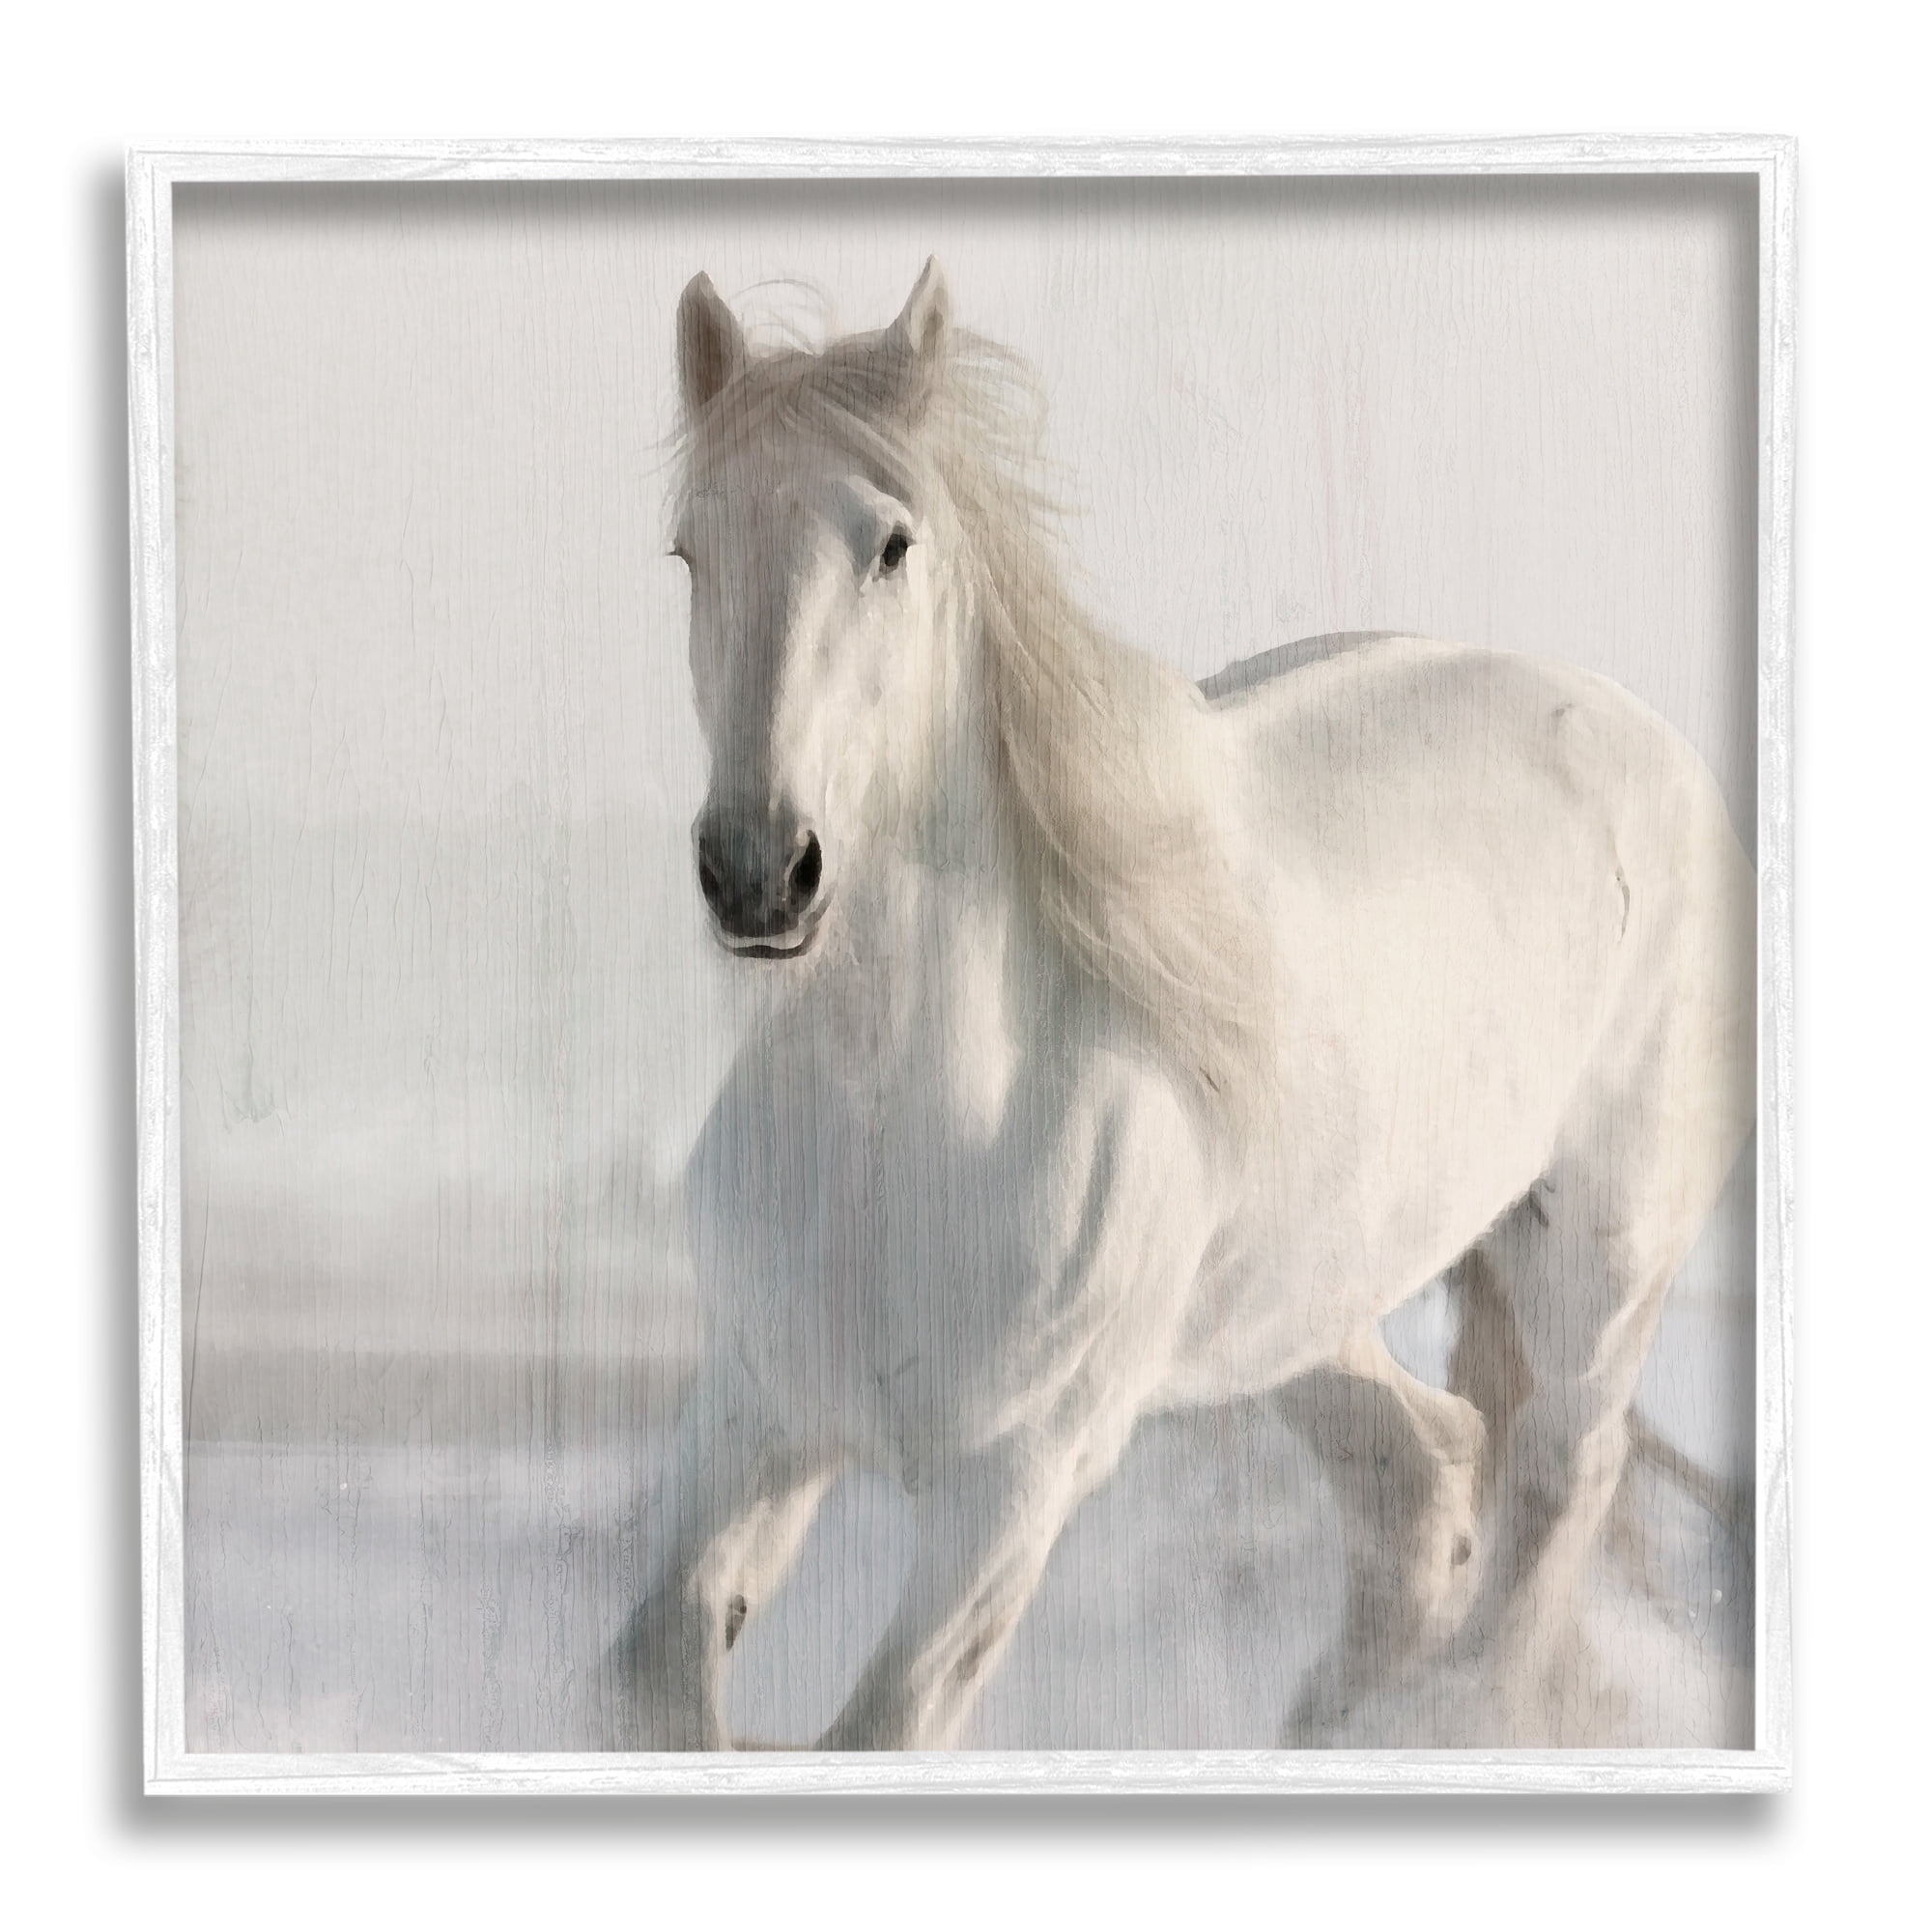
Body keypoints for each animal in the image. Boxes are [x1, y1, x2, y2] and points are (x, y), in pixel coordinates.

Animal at [619, 259, 1756, 1751]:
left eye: (891, 545)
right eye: (689, 551)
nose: (760, 872)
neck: (901, 1127)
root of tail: (1641, 736)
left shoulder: (1009, 1492)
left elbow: (881, 1725)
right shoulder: (753, 1415)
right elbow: (654, 1671)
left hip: (1597, 1262)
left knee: (1559, 1476)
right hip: (1299, 1308)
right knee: (1421, 1479)